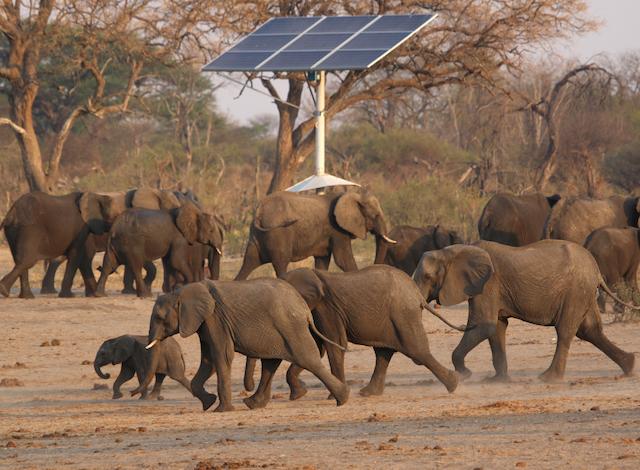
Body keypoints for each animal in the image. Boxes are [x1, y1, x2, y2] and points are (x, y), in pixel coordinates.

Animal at [95, 203, 224, 298]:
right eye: (211, 230)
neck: (197, 213)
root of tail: (114, 228)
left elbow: (169, 262)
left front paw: (172, 290)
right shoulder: (179, 238)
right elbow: (176, 261)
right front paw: (187, 284)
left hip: (115, 244)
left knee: (108, 264)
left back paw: (100, 295)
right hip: (131, 243)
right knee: (136, 266)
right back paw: (145, 295)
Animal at [131, 280, 350, 412]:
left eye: (159, 318)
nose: (131, 393)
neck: (183, 291)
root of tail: (304, 308)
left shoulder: (215, 319)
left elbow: (221, 355)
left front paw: (221, 410)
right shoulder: (204, 324)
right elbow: (208, 360)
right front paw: (208, 403)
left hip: (291, 327)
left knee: (307, 359)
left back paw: (343, 399)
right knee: (271, 364)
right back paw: (253, 404)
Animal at [235, 189, 396, 280]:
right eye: (375, 216)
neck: (352, 195)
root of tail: (259, 210)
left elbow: (322, 261)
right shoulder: (337, 229)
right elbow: (343, 259)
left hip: (256, 235)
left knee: (249, 262)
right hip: (277, 233)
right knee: (280, 262)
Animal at [278, 266, 458, 398]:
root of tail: (418, 294)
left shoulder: (326, 308)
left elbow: (335, 345)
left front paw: (331, 397)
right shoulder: (318, 310)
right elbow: (318, 347)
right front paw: (299, 395)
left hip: (403, 314)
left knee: (416, 351)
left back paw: (454, 384)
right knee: (383, 353)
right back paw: (368, 393)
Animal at [410, 242, 636, 382]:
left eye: (428, 277)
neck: (453, 250)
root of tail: (597, 271)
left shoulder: (488, 285)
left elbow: (484, 325)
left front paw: (465, 374)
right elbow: (496, 328)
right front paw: (497, 381)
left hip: (576, 290)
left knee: (566, 331)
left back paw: (548, 378)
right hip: (583, 292)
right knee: (591, 330)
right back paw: (630, 366)